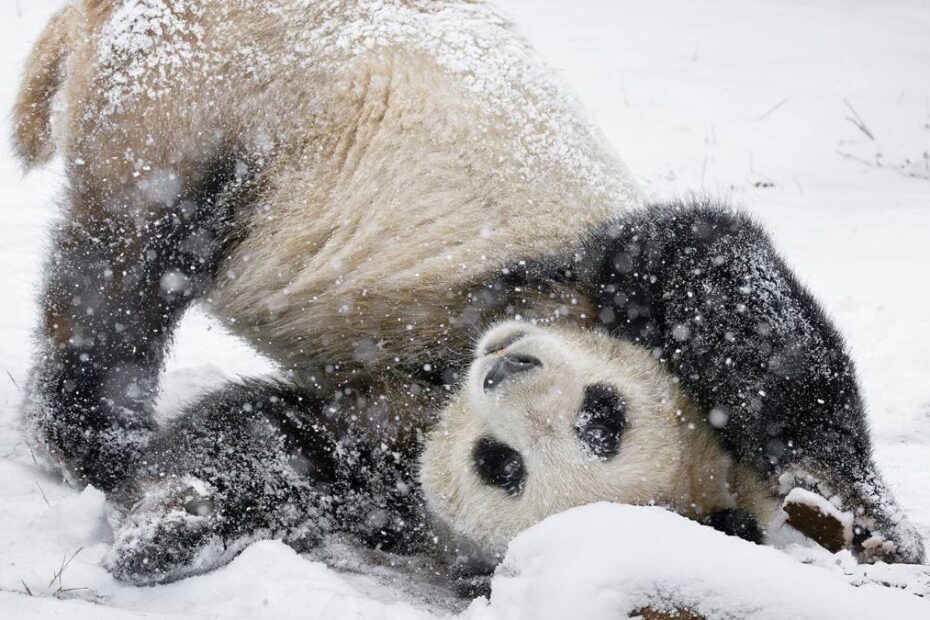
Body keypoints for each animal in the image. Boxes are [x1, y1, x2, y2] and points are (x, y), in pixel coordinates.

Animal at [14, 0, 924, 584]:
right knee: (125, 272)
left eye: (503, 465)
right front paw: (859, 516)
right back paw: (101, 435)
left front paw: (175, 525)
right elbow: (721, 282)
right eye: (604, 412)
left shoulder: (391, 446)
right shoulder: (585, 286)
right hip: (204, 98)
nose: (505, 368)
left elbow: (279, 443)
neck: (448, 371)